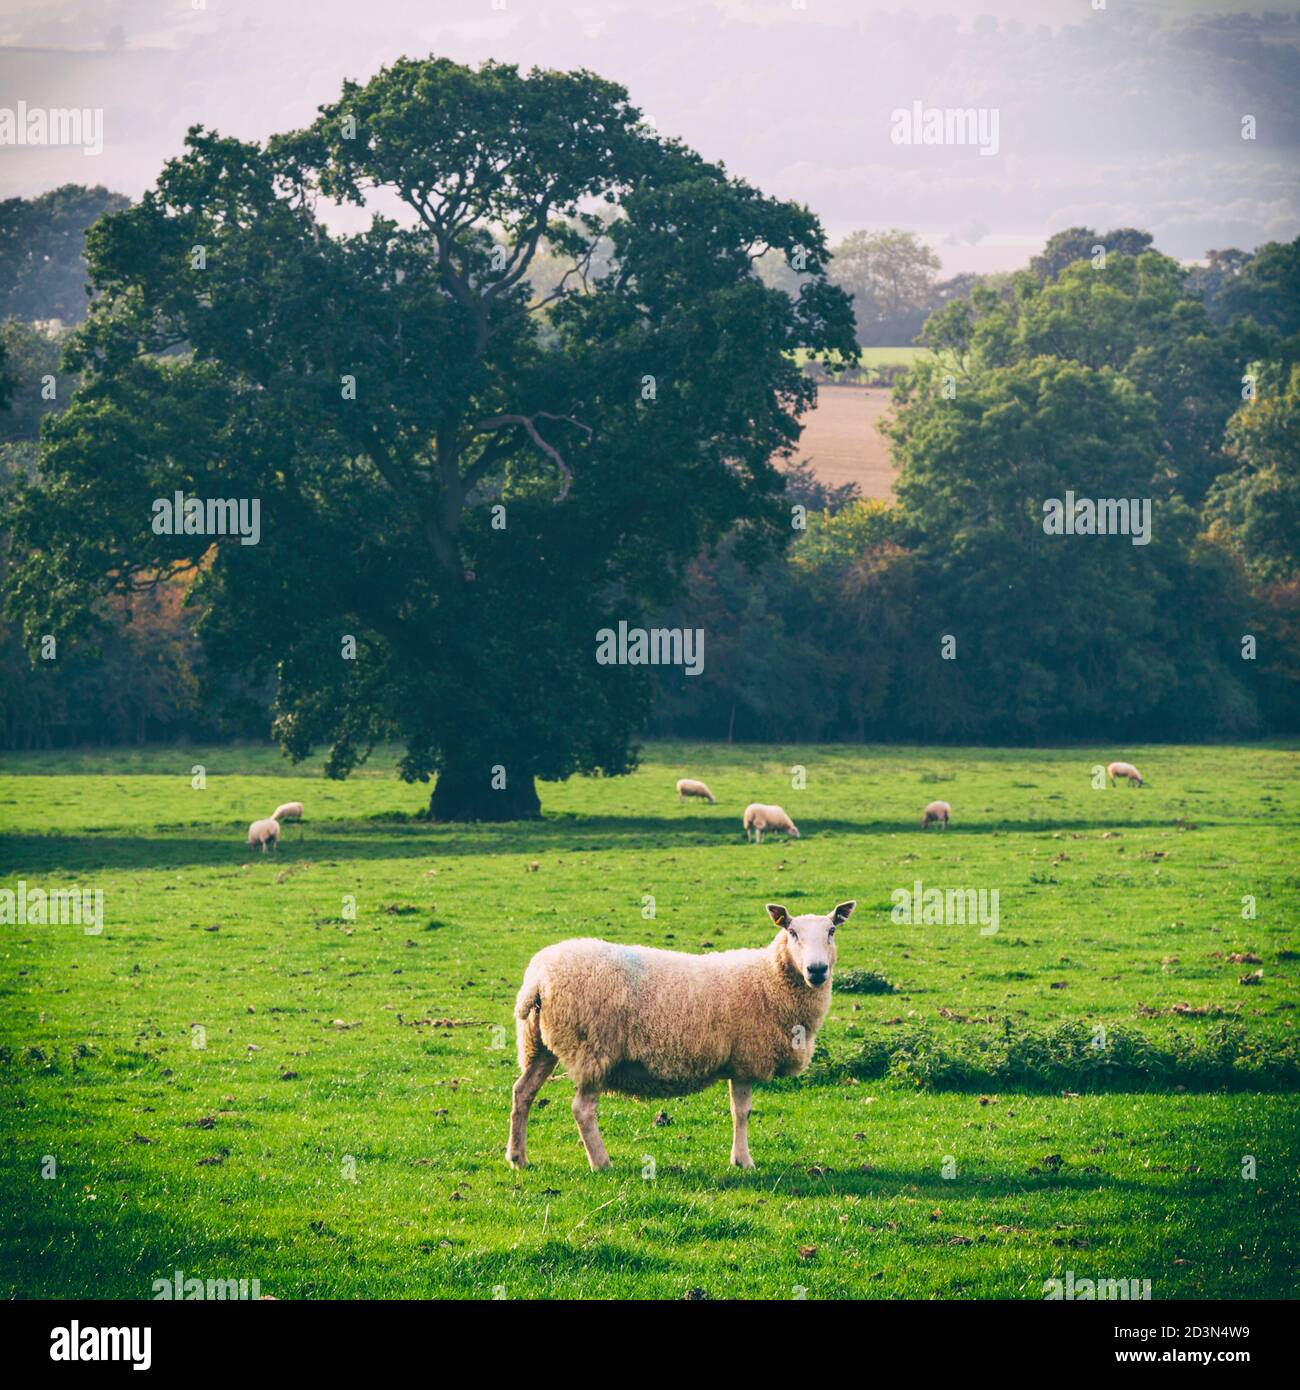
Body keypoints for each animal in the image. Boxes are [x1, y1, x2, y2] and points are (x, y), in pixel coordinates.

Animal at [506, 900, 857, 1170]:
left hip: (539, 1042)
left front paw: (739, 1159)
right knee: (582, 1109)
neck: (769, 979)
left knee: (523, 1091)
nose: (817, 970)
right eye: (792, 932)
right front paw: (743, 1161)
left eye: (831, 931)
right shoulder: (745, 1058)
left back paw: (518, 1157)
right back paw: (601, 1162)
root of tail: (537, 978)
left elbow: (738, 1111)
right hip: (593, 1048)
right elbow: (741, 1112)